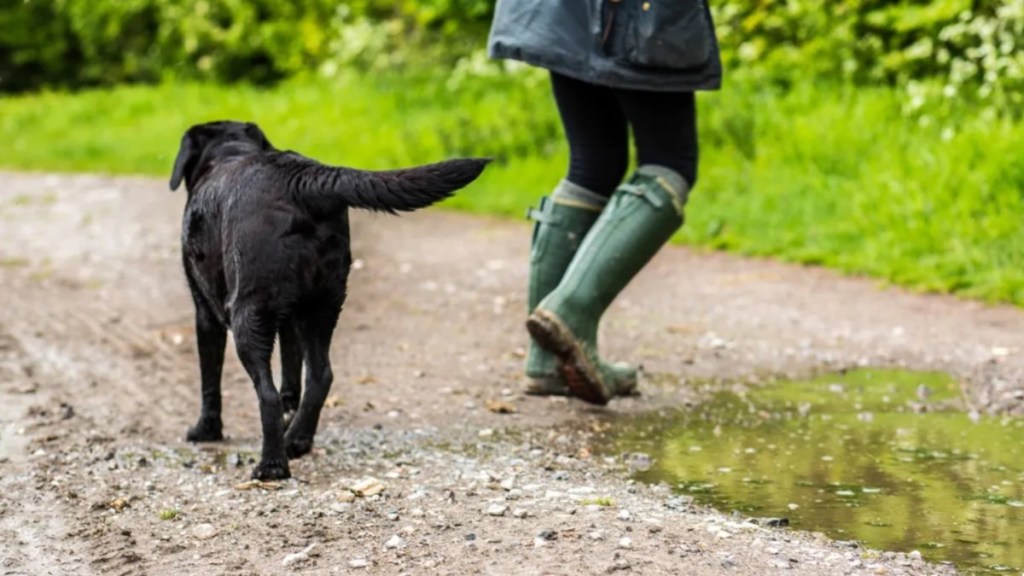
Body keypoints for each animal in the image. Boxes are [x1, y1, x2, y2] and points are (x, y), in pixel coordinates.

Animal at [167, 121, 487, 479]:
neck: (228, 153)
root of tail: (301, 178)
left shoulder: (205, 311)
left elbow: (210, 380)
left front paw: (205, 430)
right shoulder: (288, 318)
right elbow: (291, 373)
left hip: (249, 313)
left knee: (267, 393)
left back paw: (272, 465)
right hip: (322, 305)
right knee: (320, 376)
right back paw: (297, 440)